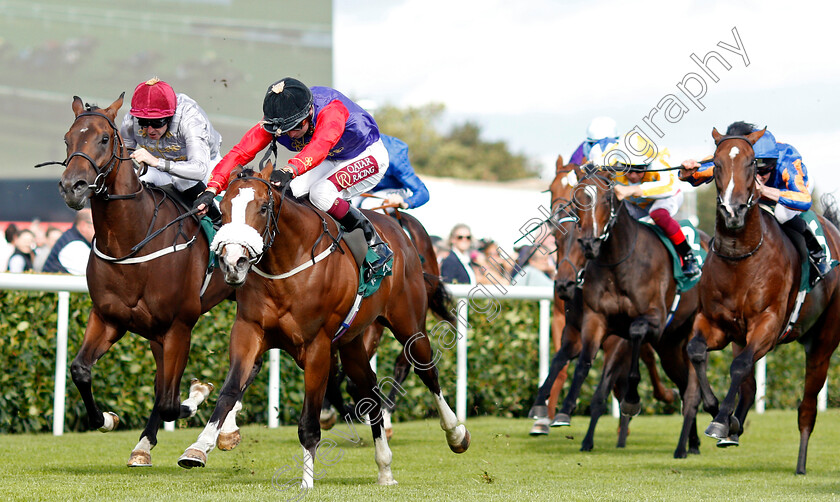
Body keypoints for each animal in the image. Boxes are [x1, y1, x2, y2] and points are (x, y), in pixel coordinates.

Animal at [556, 170, 704, 458]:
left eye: (607, 198)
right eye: (577, 200)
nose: (589, 243)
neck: (619, 261)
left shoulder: (651, 321)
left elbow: (635, 335)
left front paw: (632, 400)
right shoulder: (595, 320)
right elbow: (583, 363)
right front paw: (565, 411)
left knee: (690, 388)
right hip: (670, 345)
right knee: (682, 384)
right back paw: (692, 442)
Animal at [684, 126, 840, 474]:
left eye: (752, 164)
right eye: (715, 164)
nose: (733, 211)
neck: (740, 258)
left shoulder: (768, 325)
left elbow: (740, 366)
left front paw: (720, 421)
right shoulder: (714, 323)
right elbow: (697, 351)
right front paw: (720, 414)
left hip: (822, 345)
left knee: (807, 407)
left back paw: (800, 464)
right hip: (741, 337)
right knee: (749, 385)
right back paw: (735, 425)